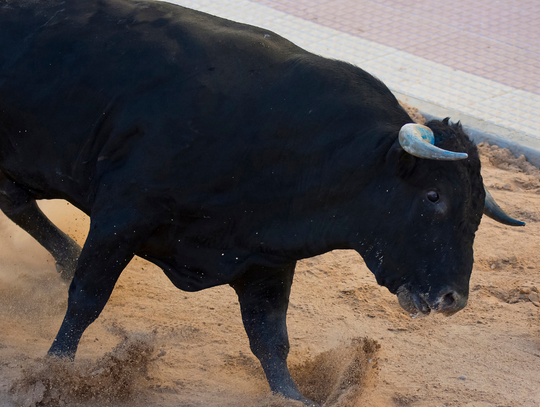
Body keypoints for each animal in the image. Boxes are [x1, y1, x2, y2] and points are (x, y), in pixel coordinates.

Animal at [0, 0, 524, 407]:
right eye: (434, 196)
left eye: (477, 213)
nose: (453, 299)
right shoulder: (121, 218)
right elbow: (86, 300)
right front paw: (53, 374)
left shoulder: (267, 259)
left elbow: (270, 338)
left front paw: (293, 396)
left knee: (16, 202)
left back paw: (65, 256)